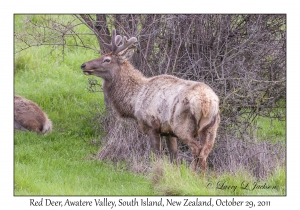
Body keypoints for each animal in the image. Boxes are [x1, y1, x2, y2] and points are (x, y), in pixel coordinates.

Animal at [81, 29, 219, 171]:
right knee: (205, 152)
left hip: (182, 126)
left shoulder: (152, 125)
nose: (83, 65)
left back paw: (193, 173)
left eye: (107, 59)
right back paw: (200, 175)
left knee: (197, 149)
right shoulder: (168, 132)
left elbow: (156, 154)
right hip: (211, 127)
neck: (134, 101)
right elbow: (174, 157)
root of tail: (206, 102)